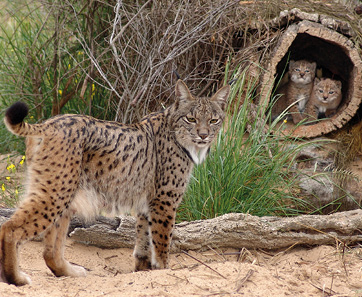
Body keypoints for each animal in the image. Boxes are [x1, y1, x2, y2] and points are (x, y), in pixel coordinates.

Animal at [0, 78, 229, 284]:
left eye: (213, 120)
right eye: (190, 119)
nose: (203, 135)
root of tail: (47, 123)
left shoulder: (147, 202)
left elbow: (144, 238)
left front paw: (143, 270)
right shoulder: (165, 200)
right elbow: (162, 240)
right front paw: (164, 270)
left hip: (65, 192)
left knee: (49, 251)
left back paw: (69, 273)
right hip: (56, 191)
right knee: (9, 228)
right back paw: (15, 279)